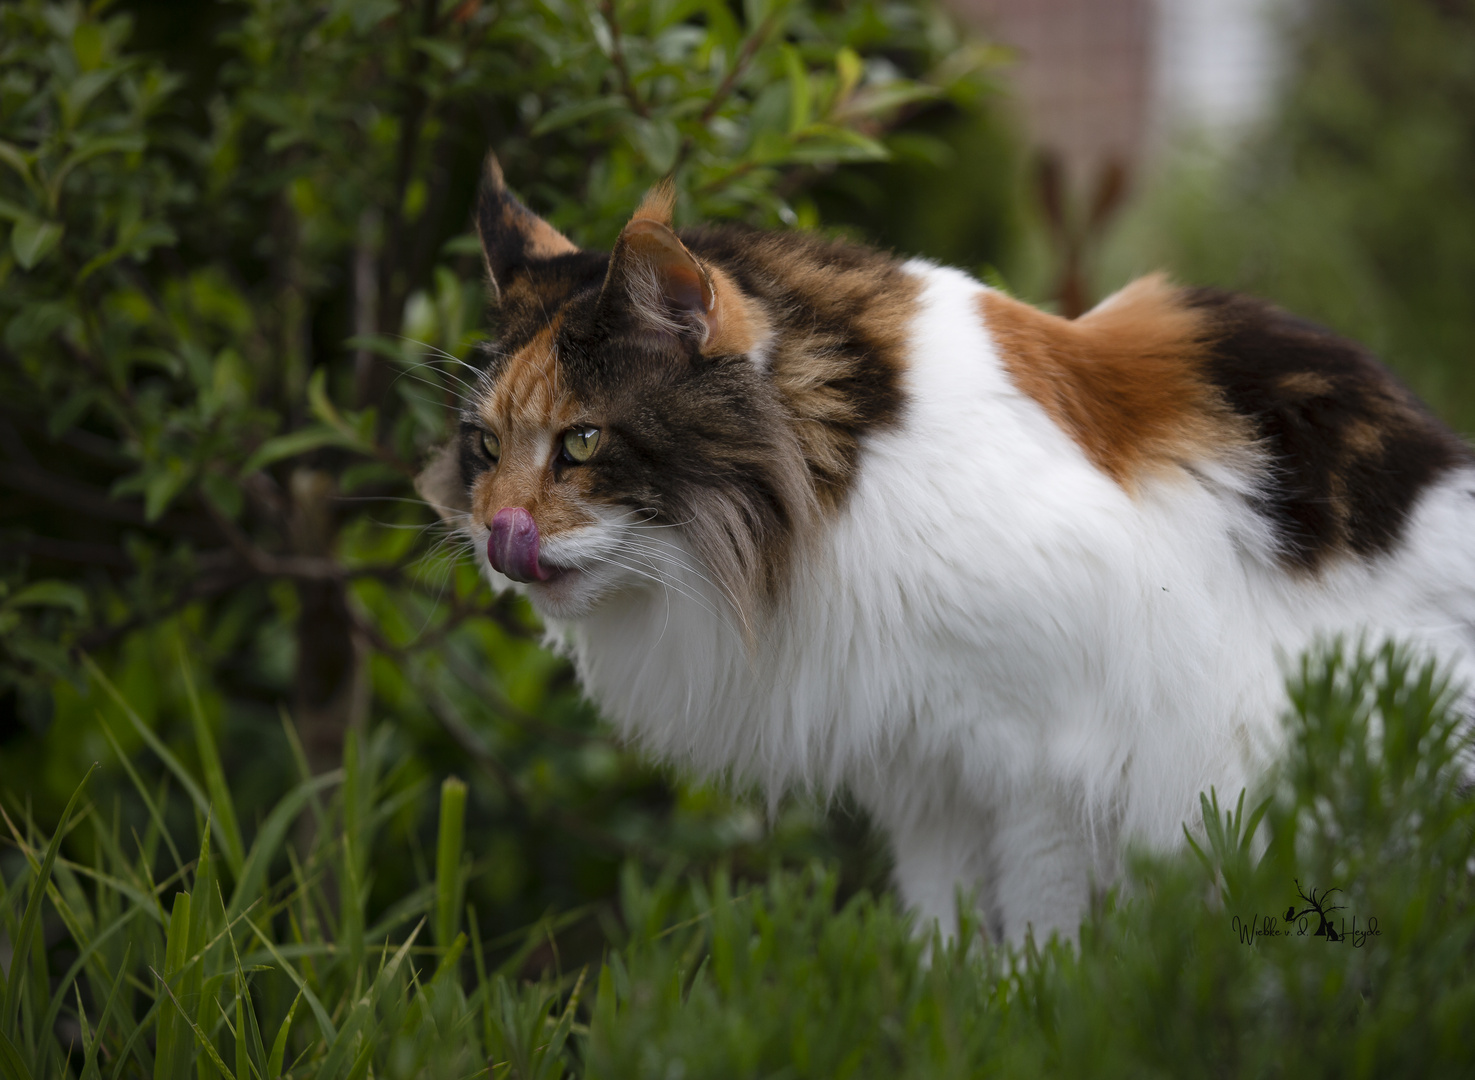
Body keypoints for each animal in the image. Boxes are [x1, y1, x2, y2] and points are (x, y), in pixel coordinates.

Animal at [418, 157, 1475, 944]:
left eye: (582, 442)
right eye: (484, 449)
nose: (499, 537)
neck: (846, 482)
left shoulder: (1047, 765)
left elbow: (1043, 936)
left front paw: (1039, 1014)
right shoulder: (931, 773)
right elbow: (945, 940)